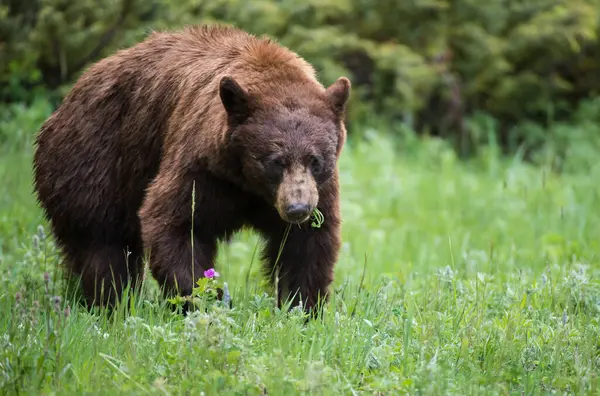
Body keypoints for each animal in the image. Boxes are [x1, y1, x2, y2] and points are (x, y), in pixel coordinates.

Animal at [31, 24, 352, 312]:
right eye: (275, 161)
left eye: (315, 160)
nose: (297, 208)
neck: (245, 181)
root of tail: (67, 101)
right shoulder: (200, 166)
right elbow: (176, 222)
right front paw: (207, 300)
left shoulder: (319, 189)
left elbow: (307, 244)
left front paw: (302, 307)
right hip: (93, 163)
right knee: (102, 246)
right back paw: (109, 304)